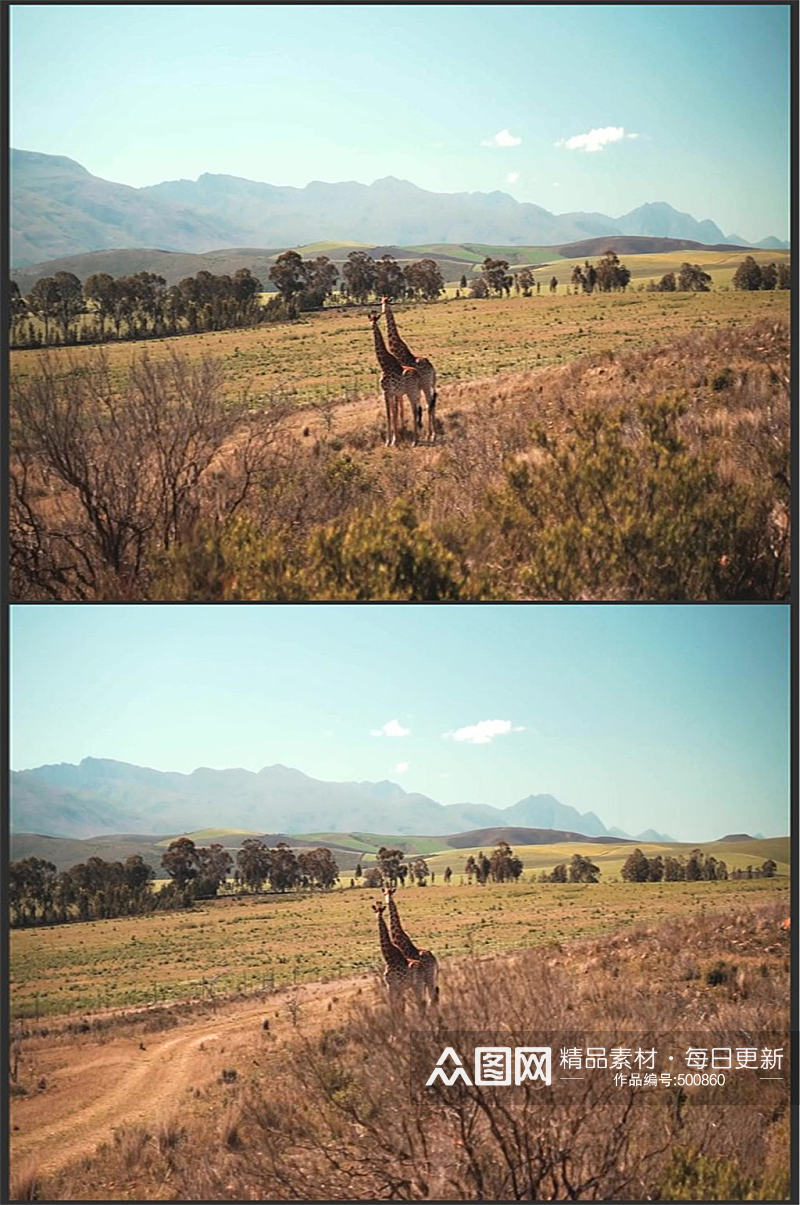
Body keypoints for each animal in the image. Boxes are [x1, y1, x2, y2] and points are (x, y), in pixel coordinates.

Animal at [366, 310, 421, 448]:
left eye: (375, 320)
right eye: (370, 320)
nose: (372, 326)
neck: (383, 364)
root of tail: (417, 375)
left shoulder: (386, 392)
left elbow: (389, 415)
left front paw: (390, 441)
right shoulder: (392, 393)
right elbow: (393, 413)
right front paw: (395, 439)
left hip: (411, 392)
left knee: (414, 410)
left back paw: (415, 441)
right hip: (414, 392)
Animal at [380, 295, 438, 443]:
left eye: (387, 303)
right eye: (381, 302)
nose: (382, 311)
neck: (398, 352)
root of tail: (433, 369)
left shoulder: (400, 386)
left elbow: (399, 407)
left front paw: (401, 433)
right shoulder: (401, 388)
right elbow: (402, 407)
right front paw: (403, 430)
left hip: (425, 384)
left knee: (429, 402)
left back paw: (431, 434)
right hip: (427, 385)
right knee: (431, 402)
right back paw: (430, 433)